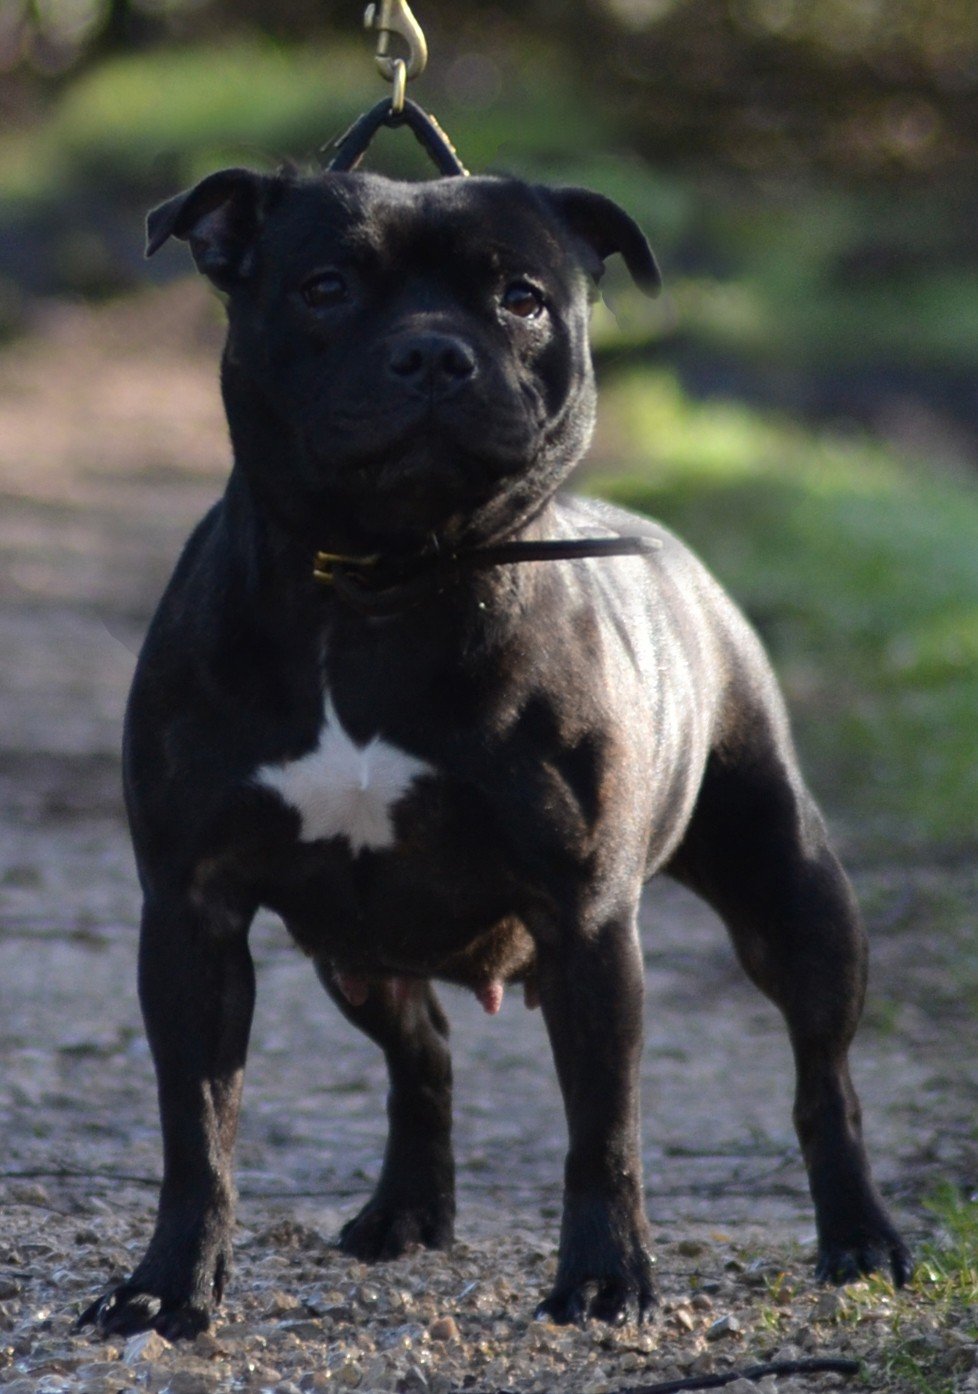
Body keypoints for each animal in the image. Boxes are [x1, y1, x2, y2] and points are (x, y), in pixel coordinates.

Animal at [80, 168, 913, 1332]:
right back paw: (405, 1211)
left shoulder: (589, 923)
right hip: (354, 946)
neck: (380, 579)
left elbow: (603, 1127)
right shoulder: (191, 914)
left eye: (522, 298)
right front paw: (166, 1288)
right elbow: (198, 1128)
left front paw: (605, 1277)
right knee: (422, 1055)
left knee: (824, 1077)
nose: (435, 352)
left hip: (794, 894)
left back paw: (860, 1236)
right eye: (325, 286)